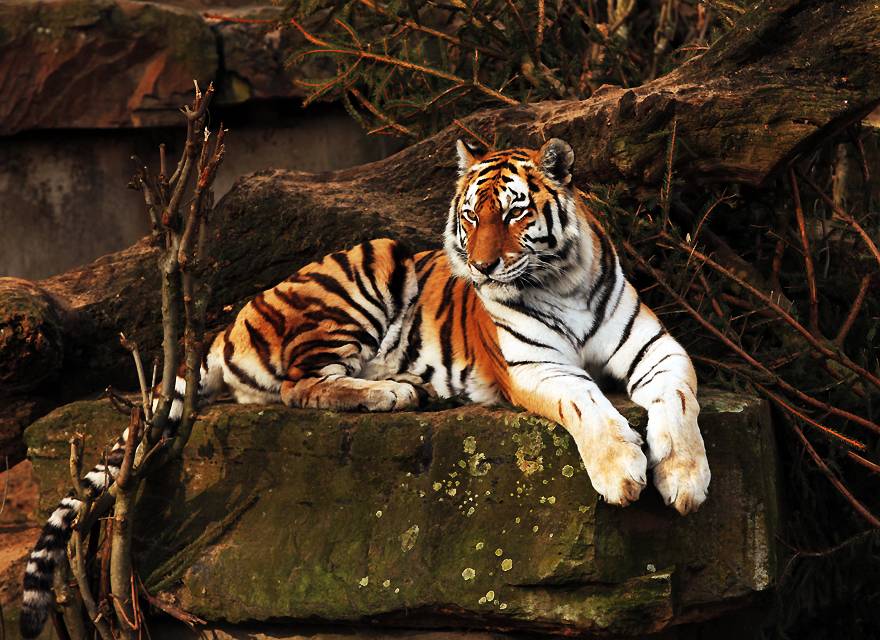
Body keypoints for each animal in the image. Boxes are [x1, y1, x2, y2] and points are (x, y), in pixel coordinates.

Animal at [20, 138, 710, 638]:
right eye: (471, 216)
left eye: (516, 211)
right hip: (359, 275)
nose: (482, 265)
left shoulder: (657, 347)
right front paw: (623, 473)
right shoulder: (536, 367)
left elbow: (680, 401)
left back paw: (408, 381)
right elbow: (588, 403)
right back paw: (394, 392)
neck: (561, 278)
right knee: (300, 386)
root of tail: (234, 318)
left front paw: (683, 480)